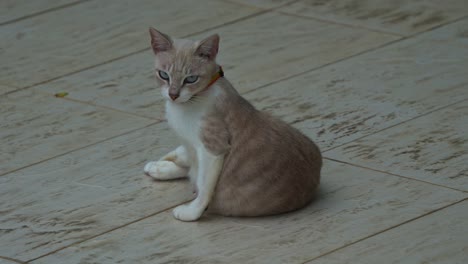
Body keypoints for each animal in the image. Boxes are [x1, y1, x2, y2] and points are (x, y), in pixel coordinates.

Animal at [144, 27, 324, 221]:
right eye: (164, 75)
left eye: (191, 79)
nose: (173, 95)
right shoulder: (190, 143)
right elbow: (187, 159)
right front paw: (166, 163)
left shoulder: (212, 149)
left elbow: (204, 187)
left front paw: (191, 212)